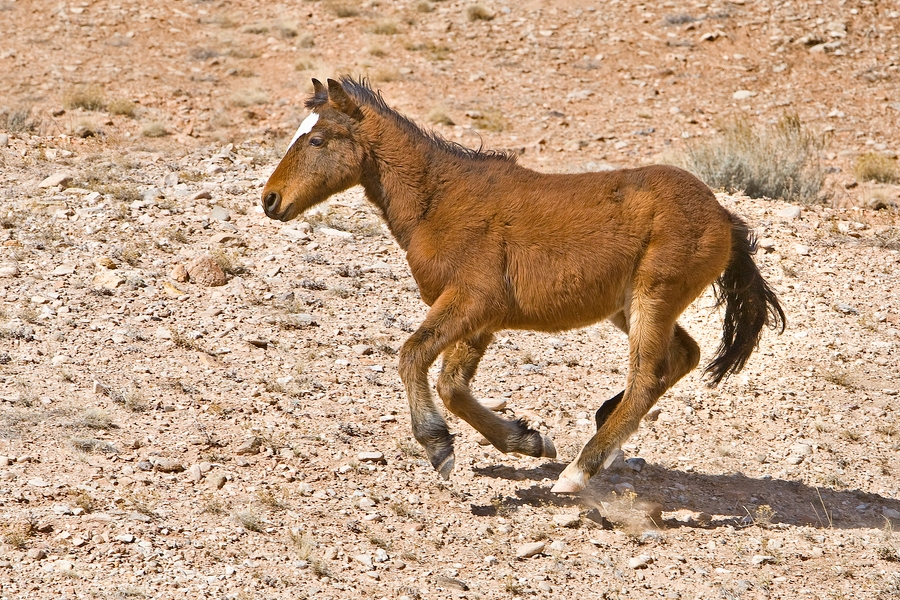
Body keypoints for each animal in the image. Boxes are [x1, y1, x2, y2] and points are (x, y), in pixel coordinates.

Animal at [258, 77, 780, 494]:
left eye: (318, 139)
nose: (270, 199)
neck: (439, 201)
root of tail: (724, 217)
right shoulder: (478, 319)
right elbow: (452, 385)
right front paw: (527, 440)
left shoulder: (471, 301)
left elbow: (412, 356)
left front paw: (438, 447)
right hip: (630, 307)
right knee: (684, 355)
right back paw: (603, 427)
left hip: (654, 296)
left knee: (647, 377)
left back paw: (579, 472)